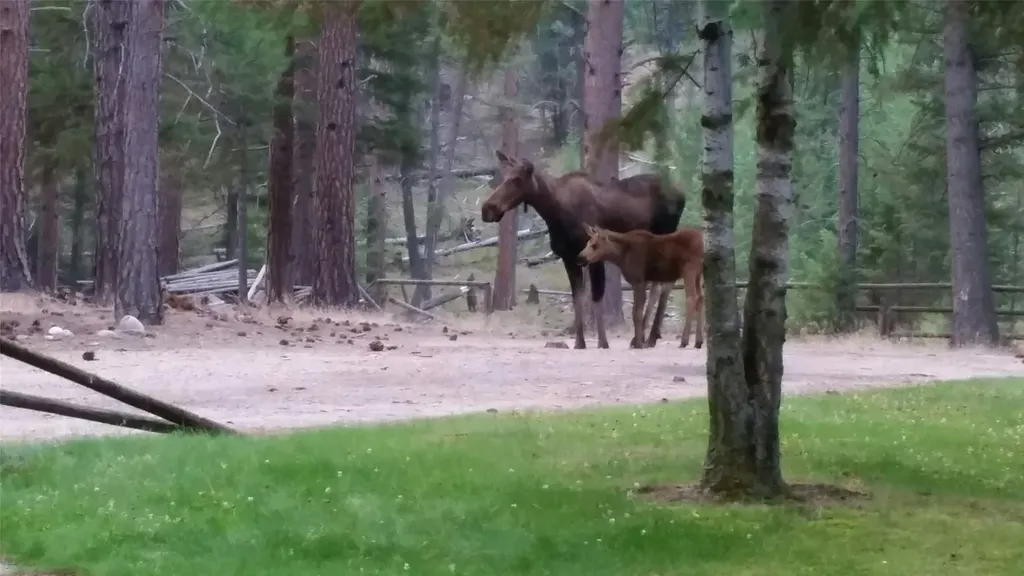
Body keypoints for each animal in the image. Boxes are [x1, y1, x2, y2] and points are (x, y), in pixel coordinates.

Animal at [480, 151, 685, 349]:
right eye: (504, 177)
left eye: (517, 179)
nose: (487, 209)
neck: (554, 213)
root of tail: (681, 195)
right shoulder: (569, 258)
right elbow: (577, 297)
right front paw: (580, 342)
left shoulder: (595, 256)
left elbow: (596, 295)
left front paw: (603, 342)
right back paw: (648, 336)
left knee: (664, 284)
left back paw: (646, 337)